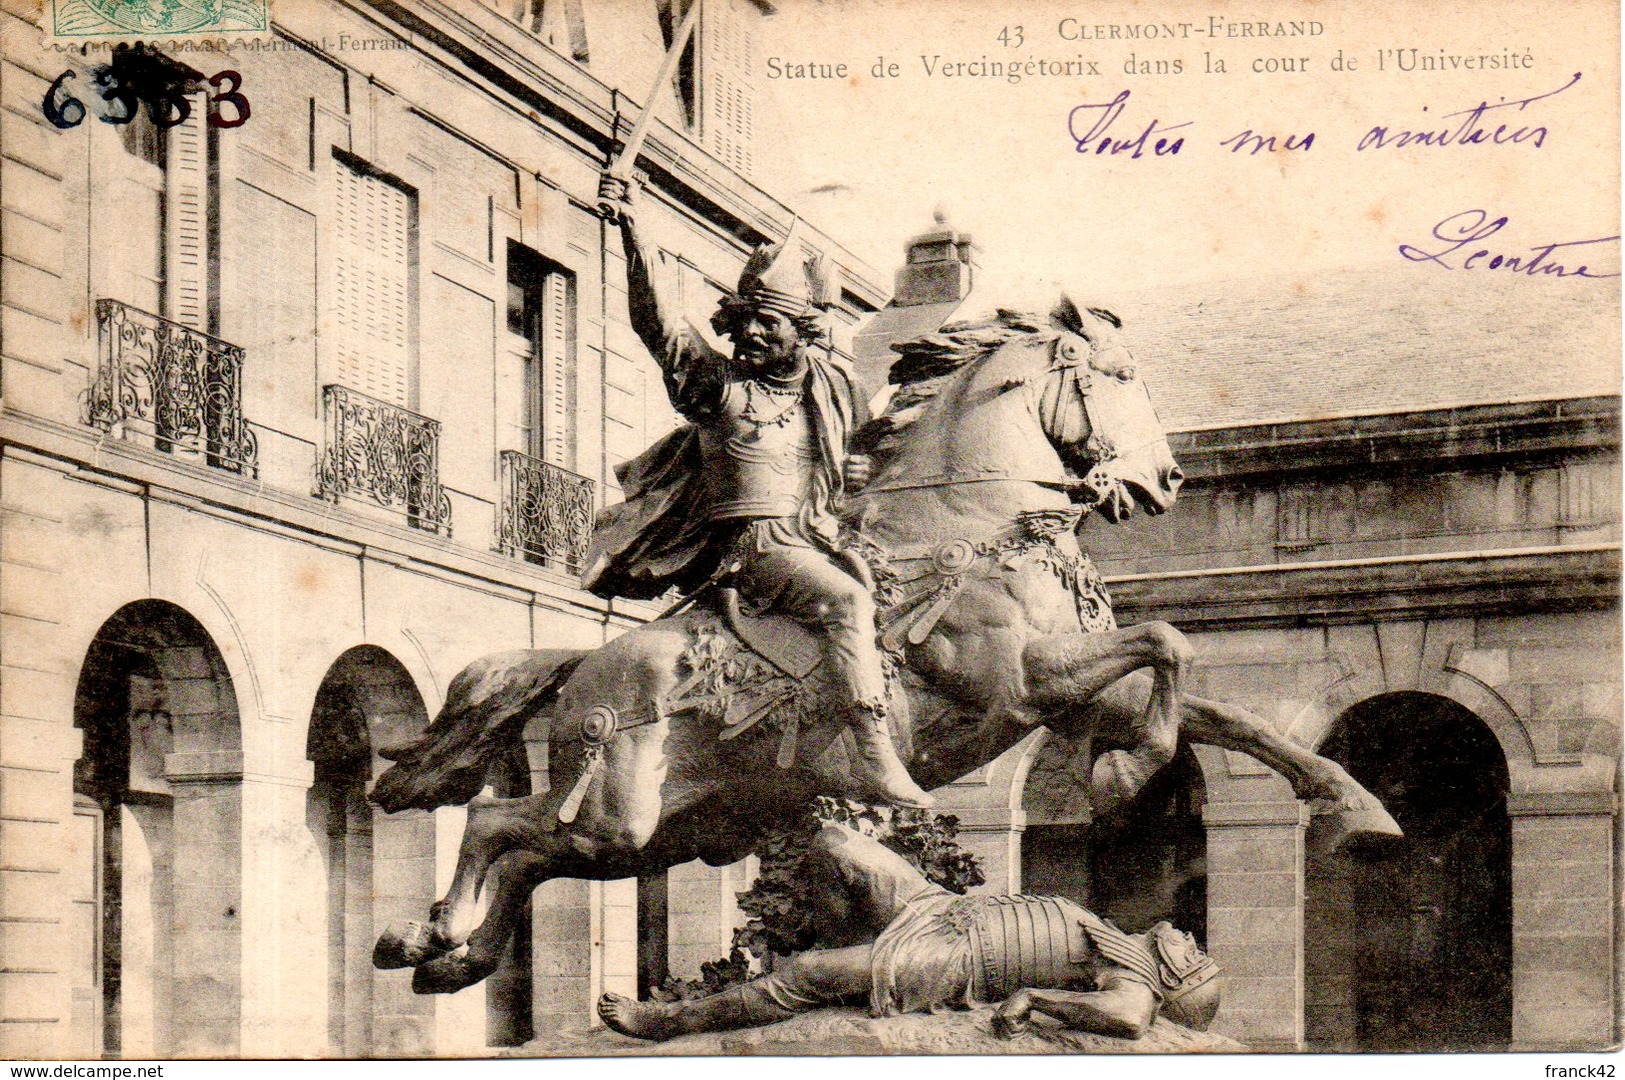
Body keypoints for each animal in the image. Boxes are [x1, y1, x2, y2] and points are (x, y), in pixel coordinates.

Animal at [372, 300, 1397, 993]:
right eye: (1115, 379)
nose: (1165, 480)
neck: (974, 523)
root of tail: (585, 663)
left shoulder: (1076, 690)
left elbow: (1226, 711)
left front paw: (1354, 806)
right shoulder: (1023, 683)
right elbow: (1167, 644)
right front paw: (1122, 772)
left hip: (674, 827)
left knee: (529, 856)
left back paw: (445, 955)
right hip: (624, 807)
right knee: (495, 826)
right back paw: (432, 935)